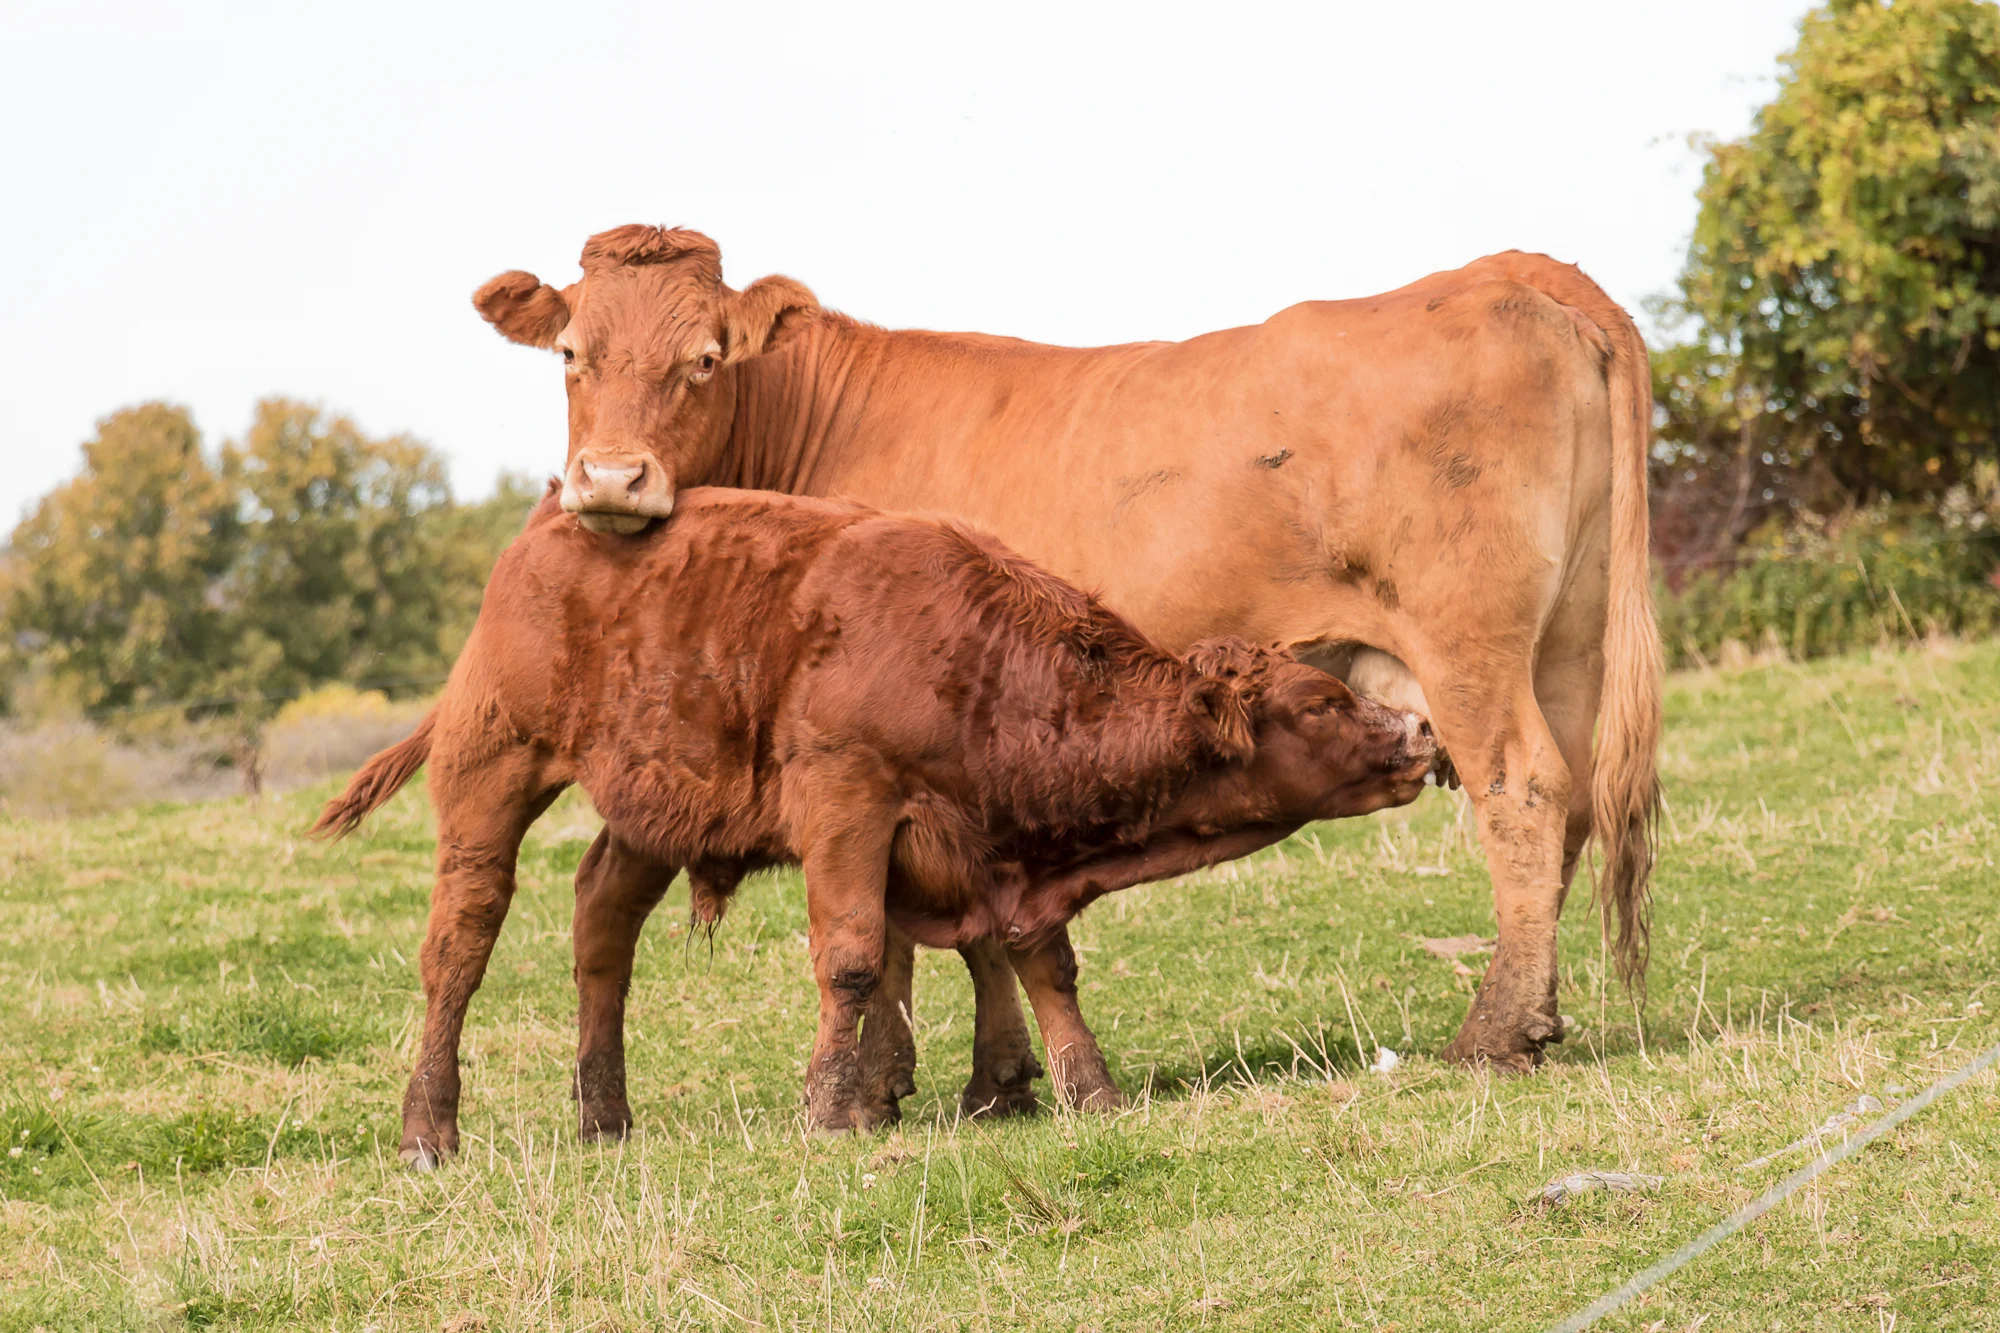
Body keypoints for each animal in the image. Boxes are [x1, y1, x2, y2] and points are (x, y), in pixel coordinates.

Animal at [315, 487, 1434, 1157]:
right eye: (1321, 703)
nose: (1421, 730)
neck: (988, 663)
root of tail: (550, 517)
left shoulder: (994, 857)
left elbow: (1040, 962)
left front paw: (1090, 1088)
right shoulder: (848, 810)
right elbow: (853, 960)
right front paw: (830, 1108)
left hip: (651, 806)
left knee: (602, 925)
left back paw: (603, 1114)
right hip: (490, 768)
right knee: (459, 944)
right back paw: (429, 1128)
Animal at [468, 226, 1664, 1070]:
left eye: (706, 358)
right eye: (572, 354)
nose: (611, 479)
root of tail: (1510, 270)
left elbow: (893, 930)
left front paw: (890, 1081)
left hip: (1468, 643)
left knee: (1521, 790)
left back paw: (1494, 1032)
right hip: (1565, 644)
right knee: (1570, 804)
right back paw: (1533, 1009)